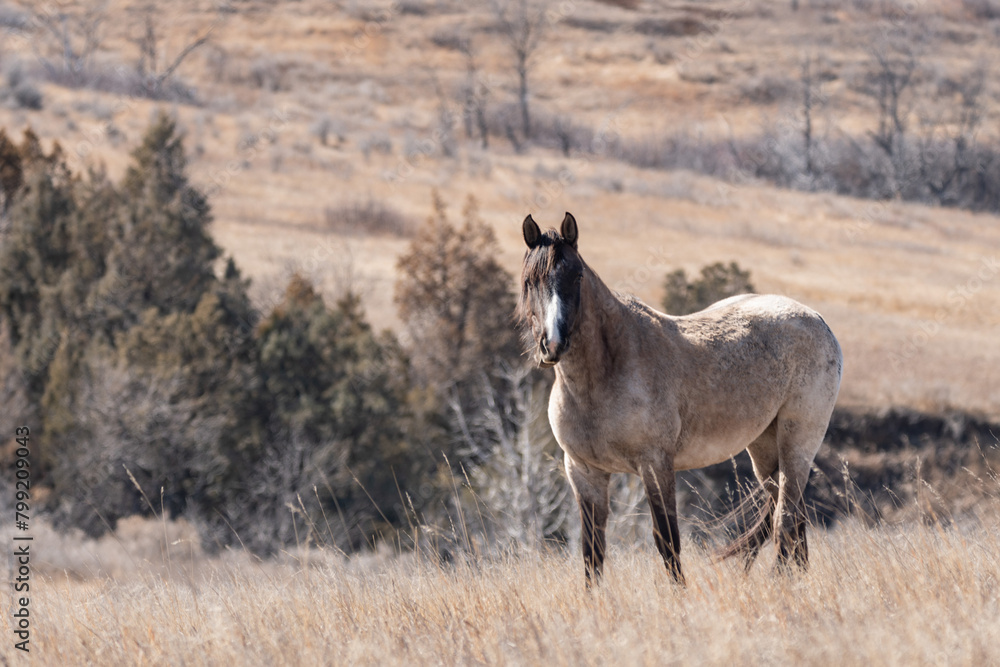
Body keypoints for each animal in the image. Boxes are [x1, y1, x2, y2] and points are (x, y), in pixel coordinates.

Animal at [516, 212, 842, 585]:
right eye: (529, 281)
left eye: (577, 276)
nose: (553, 345)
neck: (601, 376)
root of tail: (817, 320)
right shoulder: (584, 473)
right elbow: (592, 553)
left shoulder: (656, 465)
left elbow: (667, 541)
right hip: (764, 448)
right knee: (795, 523)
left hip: (797, 443)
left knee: (787, 522)